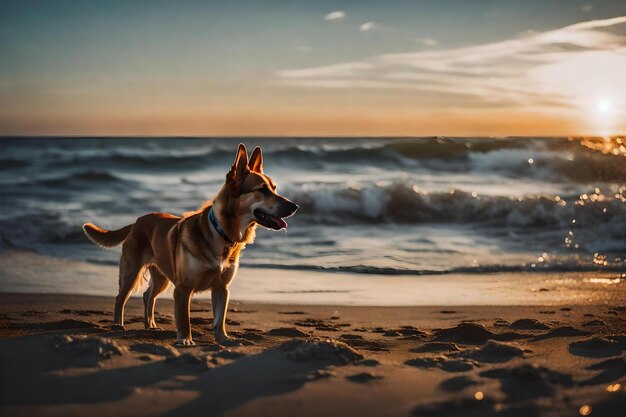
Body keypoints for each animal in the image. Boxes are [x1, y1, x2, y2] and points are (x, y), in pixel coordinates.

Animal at [83, 143, 298, 344]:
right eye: (262, 190)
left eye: (275, 188)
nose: (295, 206)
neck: (221, 233)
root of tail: (137, 221)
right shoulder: (183, 288)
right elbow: (184, 318)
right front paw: (185, 340)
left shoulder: (221, 288)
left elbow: (220, 318)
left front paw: (223, 339)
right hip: (131, 271)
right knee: (120, 298)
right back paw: (118, 325)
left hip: (162, 275)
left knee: (148, 296)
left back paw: (150, 325)